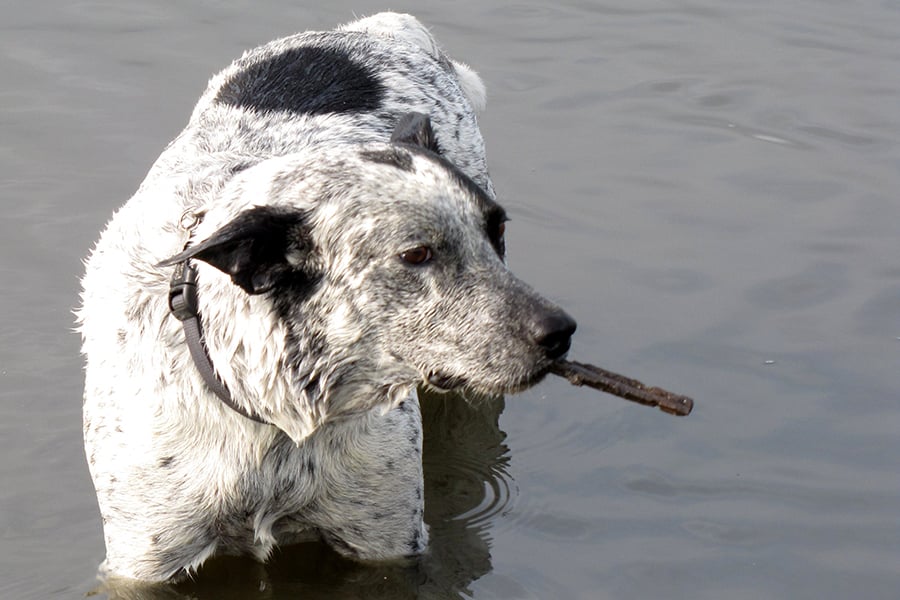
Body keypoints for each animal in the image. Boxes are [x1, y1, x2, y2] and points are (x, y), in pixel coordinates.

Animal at [75, 14, 568, 584]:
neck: (272, 416)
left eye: (496, 230)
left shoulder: (386, 539)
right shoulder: (144, 558)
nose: (561, 332)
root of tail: (378, 29)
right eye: (417, 255)